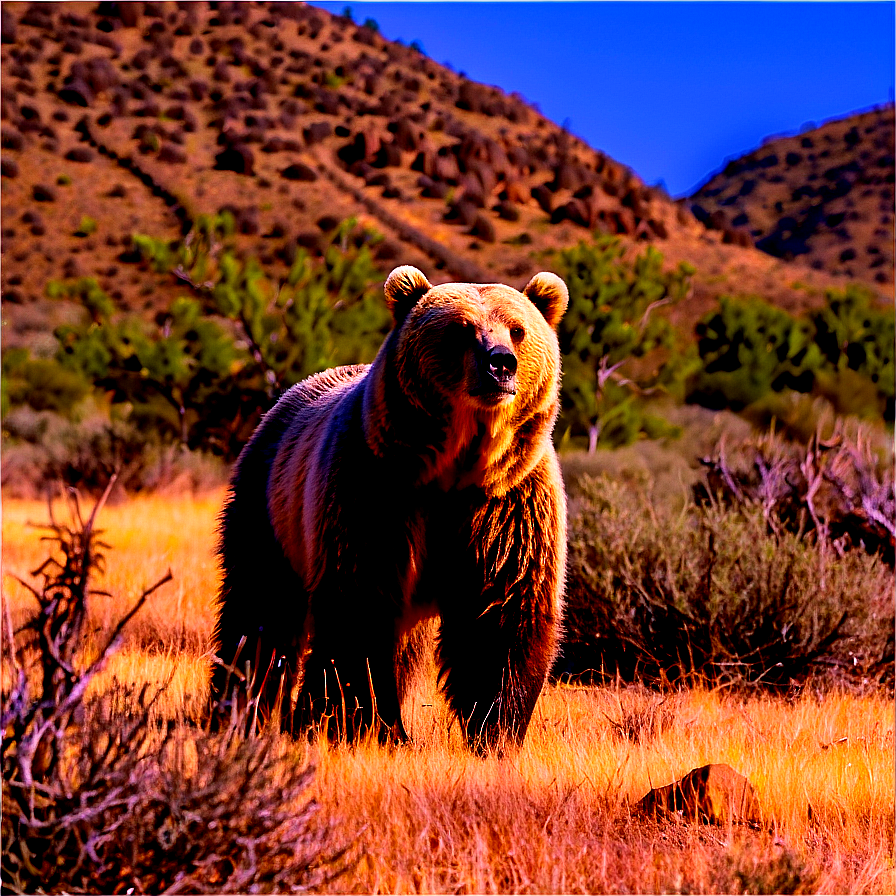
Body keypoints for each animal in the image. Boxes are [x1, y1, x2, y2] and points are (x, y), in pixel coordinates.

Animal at [214, 264, 568, 748]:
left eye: (517, 330)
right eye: (461, 329)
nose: (500, 363)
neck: (454, 466)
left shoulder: (507, 503)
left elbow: (501, 612)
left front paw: (497, 729)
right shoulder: (378, 486)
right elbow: (360, 607)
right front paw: (363, 725)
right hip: (270, 504)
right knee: (259, 612)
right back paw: (239, 709)